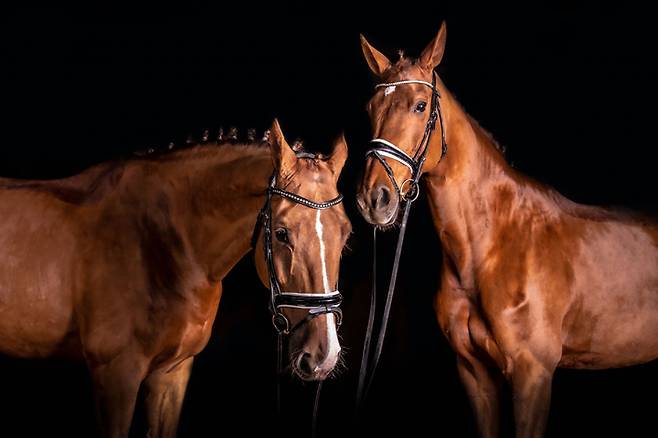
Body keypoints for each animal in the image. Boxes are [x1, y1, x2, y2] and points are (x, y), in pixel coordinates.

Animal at [0, 120, 352, 438]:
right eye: (281, 233)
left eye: (346, 233)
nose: (323, 356)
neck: (162, 247)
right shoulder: (115, 376)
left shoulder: (173, 373)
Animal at [356, 23, 656, 438]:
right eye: (370, 109)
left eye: (419, 105)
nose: (374, 198)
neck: (490, 247)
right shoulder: (475, 374)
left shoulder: (533, 375)